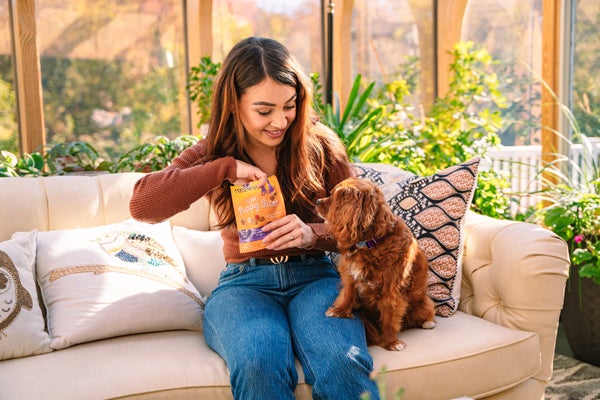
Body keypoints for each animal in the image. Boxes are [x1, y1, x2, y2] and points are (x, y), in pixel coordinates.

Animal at [314, 178, 436, 350]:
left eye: (334, 197)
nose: (317, 201)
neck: (369, 243)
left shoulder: (390, 289)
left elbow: (389, 317)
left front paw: (391, 342)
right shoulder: (350, 274)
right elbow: (348, 294)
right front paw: (340, 310)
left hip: (423, 304)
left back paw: (428, 323)